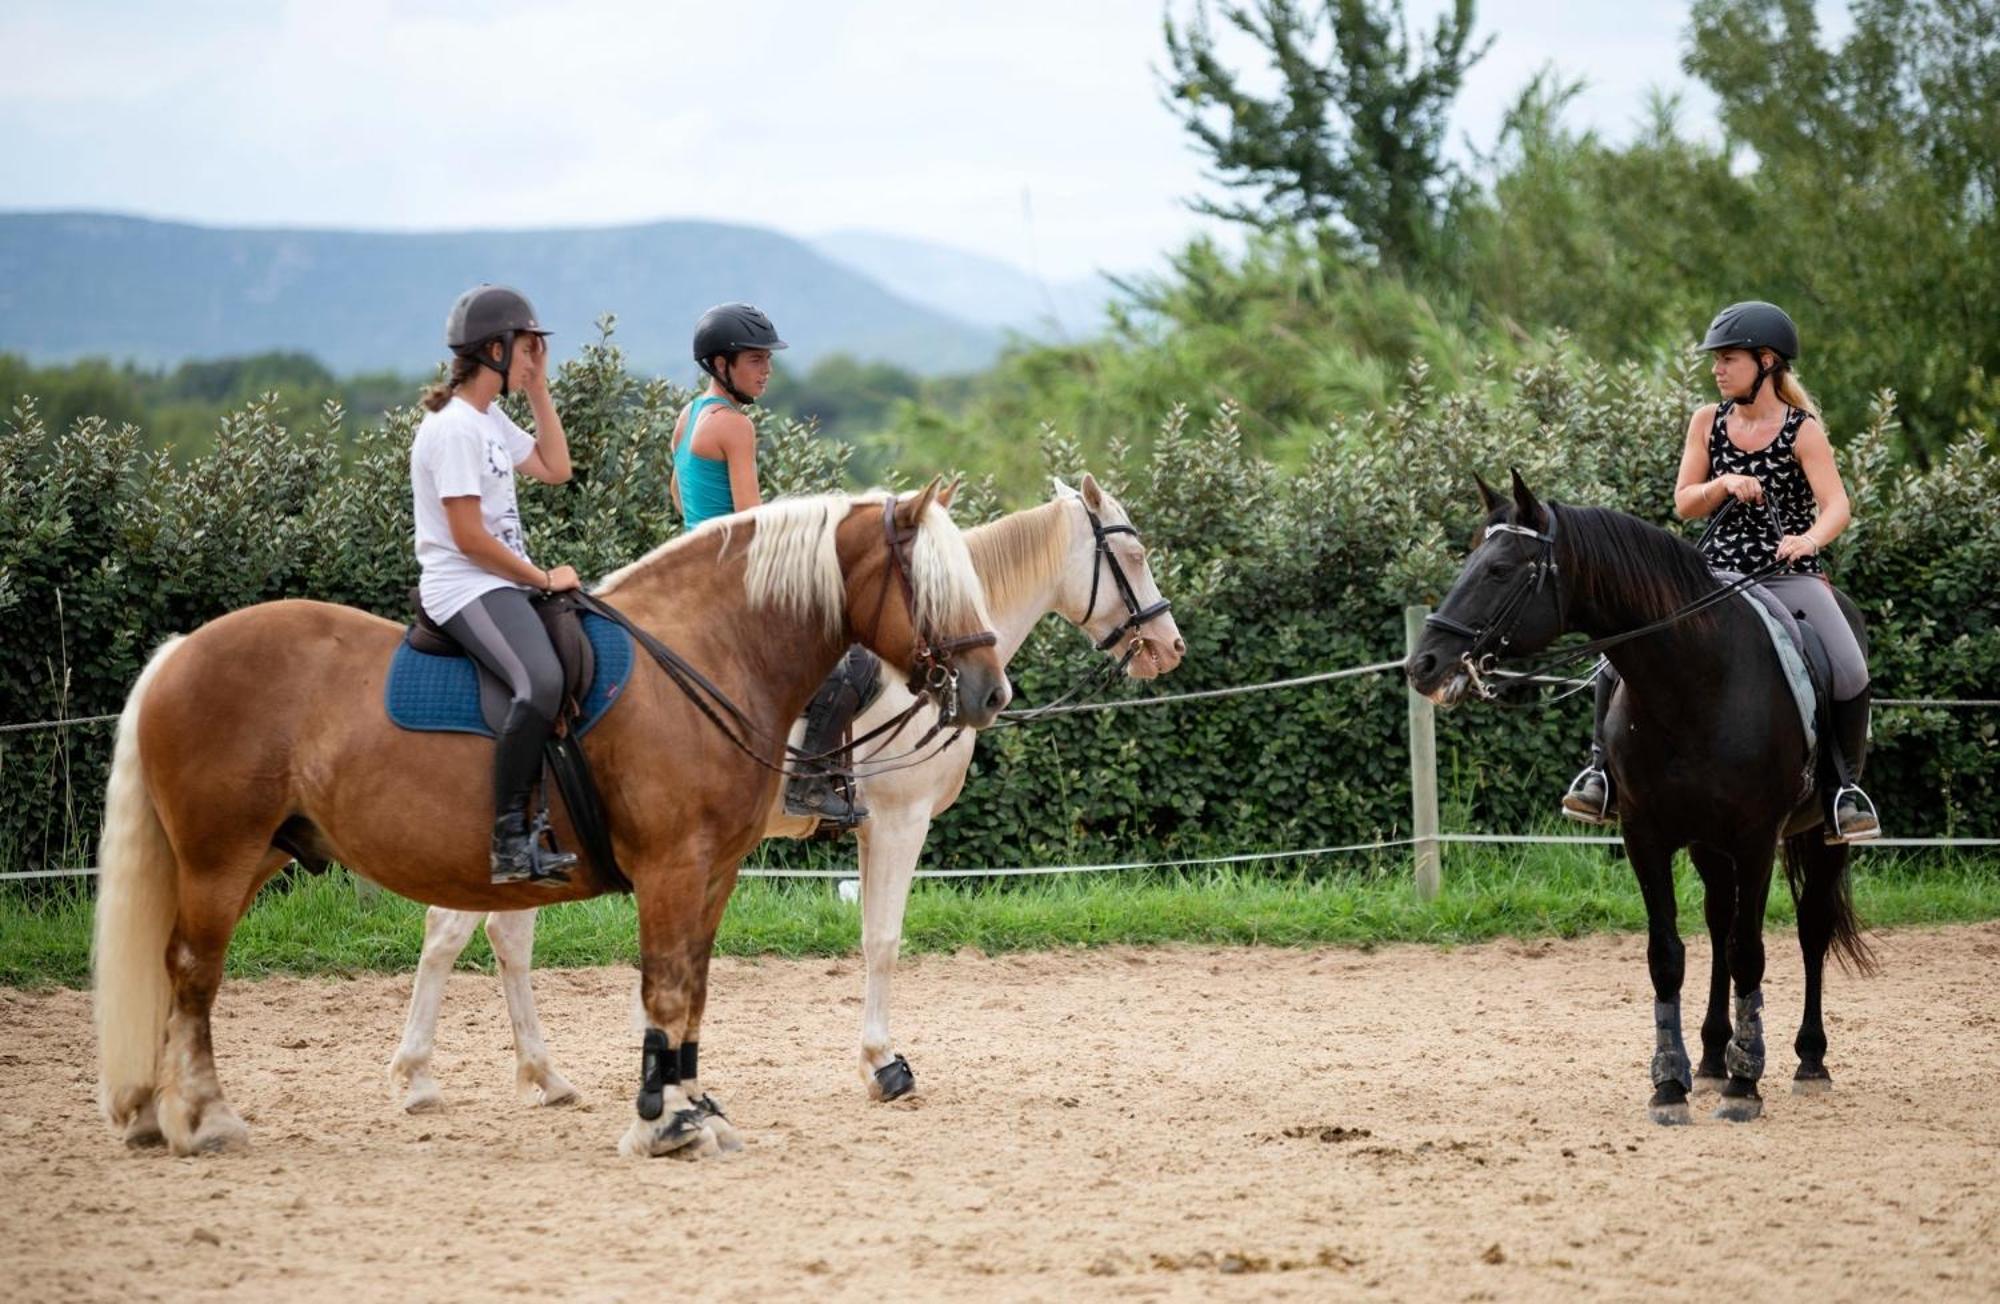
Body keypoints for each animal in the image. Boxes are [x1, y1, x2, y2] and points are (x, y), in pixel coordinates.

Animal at [94, 484, 1008, 1160]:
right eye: (932, 584)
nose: (990, 692)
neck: (704, 655)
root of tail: (180, 652)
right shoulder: (674, 867)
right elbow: (665, 988)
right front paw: (659, 1123)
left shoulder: (714, 873)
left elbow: (694, 994)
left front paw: (695, 1107)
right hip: (220, 856)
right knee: (194, 971)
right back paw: (206, 1117)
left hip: (251, 854)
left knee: (181, 971)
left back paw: (154, 1110)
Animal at [390, 476, 1184, 1112]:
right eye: (1134, 557)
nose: (1171, 645)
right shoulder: (898, 822)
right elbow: (882, 940)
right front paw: (883, 1065)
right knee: (453, 930)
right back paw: (420, 1075)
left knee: (500, 936)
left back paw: (542, 1075)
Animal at [1408, 474, 1872, 1128]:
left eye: (1499, 569)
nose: (1422, 665)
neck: (1695, 679)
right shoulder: (1645, 836)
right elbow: (1668, 955)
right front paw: (1672, 1083)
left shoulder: (1756, 839)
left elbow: (1751, 952)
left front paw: (1745, 1086)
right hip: (1708, 845)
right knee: (1719, 922)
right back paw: (1712, 1056)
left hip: (1819, 836)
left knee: (1810, 927)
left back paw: (1808, 1060)